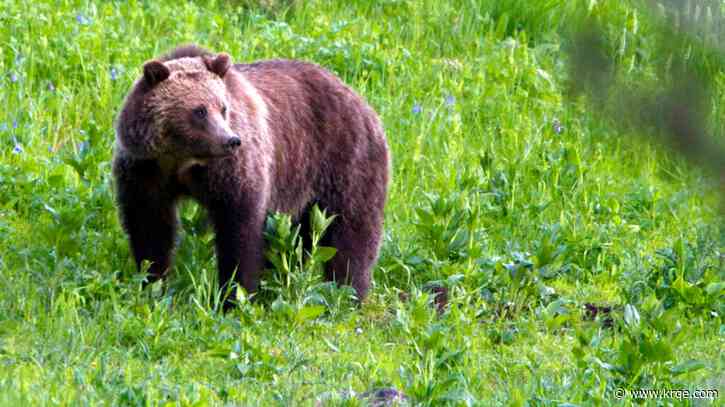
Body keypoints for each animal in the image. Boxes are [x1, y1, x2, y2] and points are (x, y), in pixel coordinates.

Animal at [113, 45, 390, 306]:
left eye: (223, 108)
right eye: (199, 111)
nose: (231, 140)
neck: (182, 160)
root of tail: (360, 99)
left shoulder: (232, 172)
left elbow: (239, 230)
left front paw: (234, 296)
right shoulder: (146, 171)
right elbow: (150, 227)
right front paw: (152, 284)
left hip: (344, 161)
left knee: (352, 231)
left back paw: (348, 293)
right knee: (301, 237)